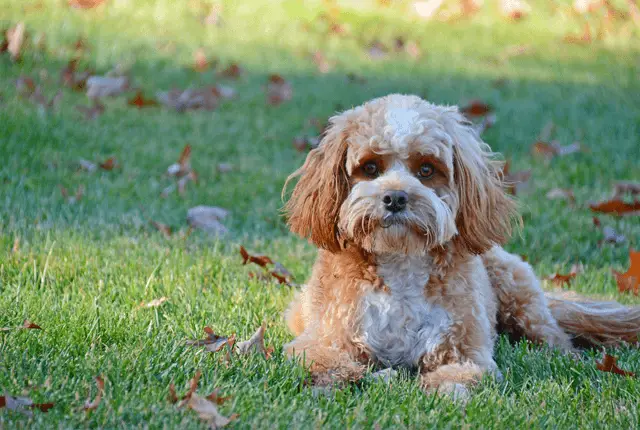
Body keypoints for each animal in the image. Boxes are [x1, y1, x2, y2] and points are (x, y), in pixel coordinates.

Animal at [282, 93, 640, 396]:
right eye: (369, 168)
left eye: (427, 169)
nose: (395, 197)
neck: (401, 262)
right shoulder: (323, 338)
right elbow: (324, 361)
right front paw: (336, 381)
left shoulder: (467, 351)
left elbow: (460, 376)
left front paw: (442, 390)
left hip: (518, 291)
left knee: (554, 337)